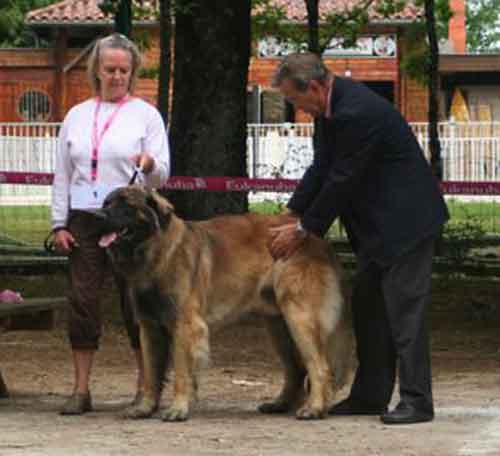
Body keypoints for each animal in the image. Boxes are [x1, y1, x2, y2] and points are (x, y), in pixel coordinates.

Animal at [95, 185, 350, 420]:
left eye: (126, 204)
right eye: (106, 203)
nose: (98, 216)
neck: (156, 251)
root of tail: (319, 240)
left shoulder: (185, 325)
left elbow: (181, 371)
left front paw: (178, 408)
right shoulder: (149, 326)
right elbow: (150, 372)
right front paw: (145, 407)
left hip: (299, 316)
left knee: (320, 366)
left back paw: (314, 408)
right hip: (278, 324)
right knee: (296, 369)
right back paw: (280, 404)